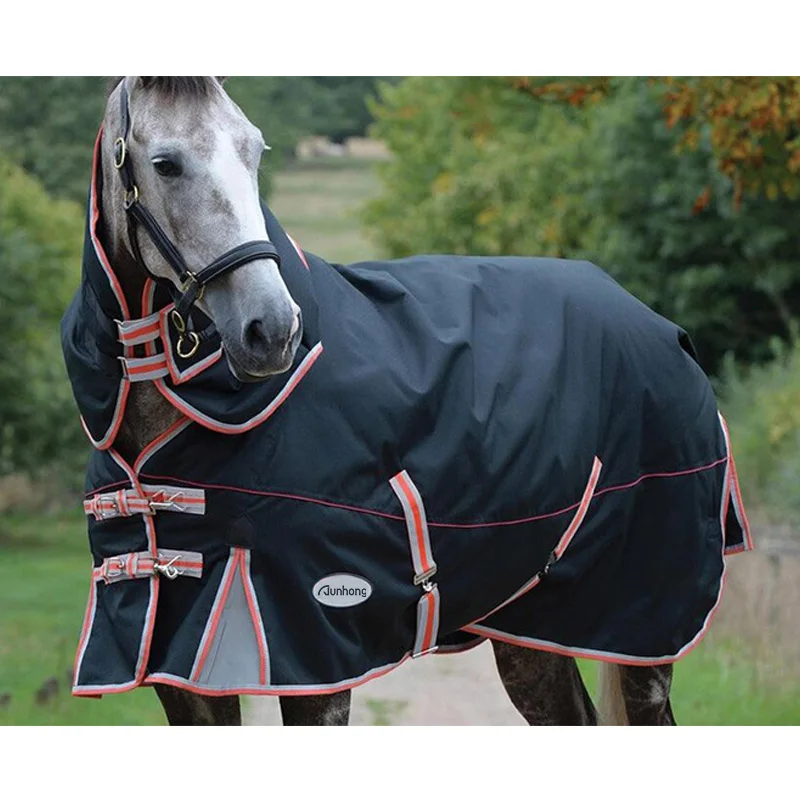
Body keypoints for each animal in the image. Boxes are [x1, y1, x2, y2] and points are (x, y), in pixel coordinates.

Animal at [61, 76, 750, 725]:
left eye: (254, 150)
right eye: (166, 163)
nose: (272, 329)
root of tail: (667, 331)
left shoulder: (313, 659)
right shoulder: (183, 679)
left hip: (643, 626)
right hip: (534, 621)